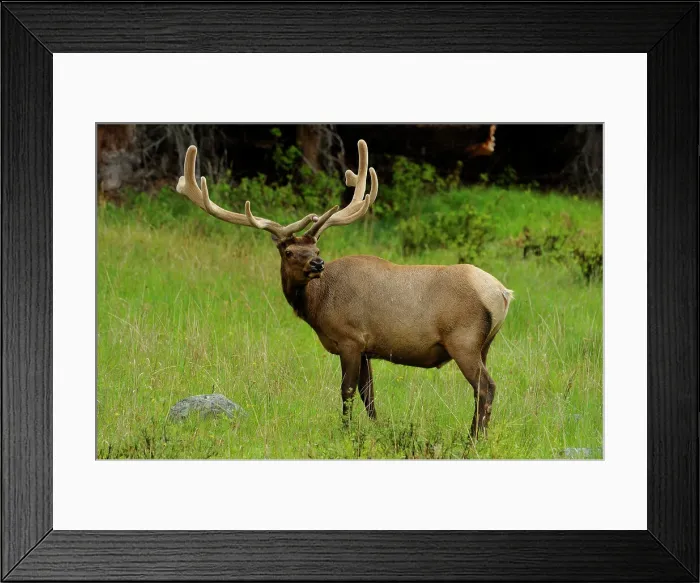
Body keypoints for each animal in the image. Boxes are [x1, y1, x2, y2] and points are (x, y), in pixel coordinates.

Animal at [177, 139, 513, 438]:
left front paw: (346, 432)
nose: (317, 263)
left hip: (463, 340)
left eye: (316, 247)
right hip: (485, 345)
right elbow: (369, 395)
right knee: (482, 390)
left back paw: (473, 439)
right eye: (289, 252)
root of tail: (503, 293)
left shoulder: (350, 339)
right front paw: (377, 430)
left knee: (486, 387)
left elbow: (348, 391)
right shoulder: (367, 348)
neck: (318, 305)